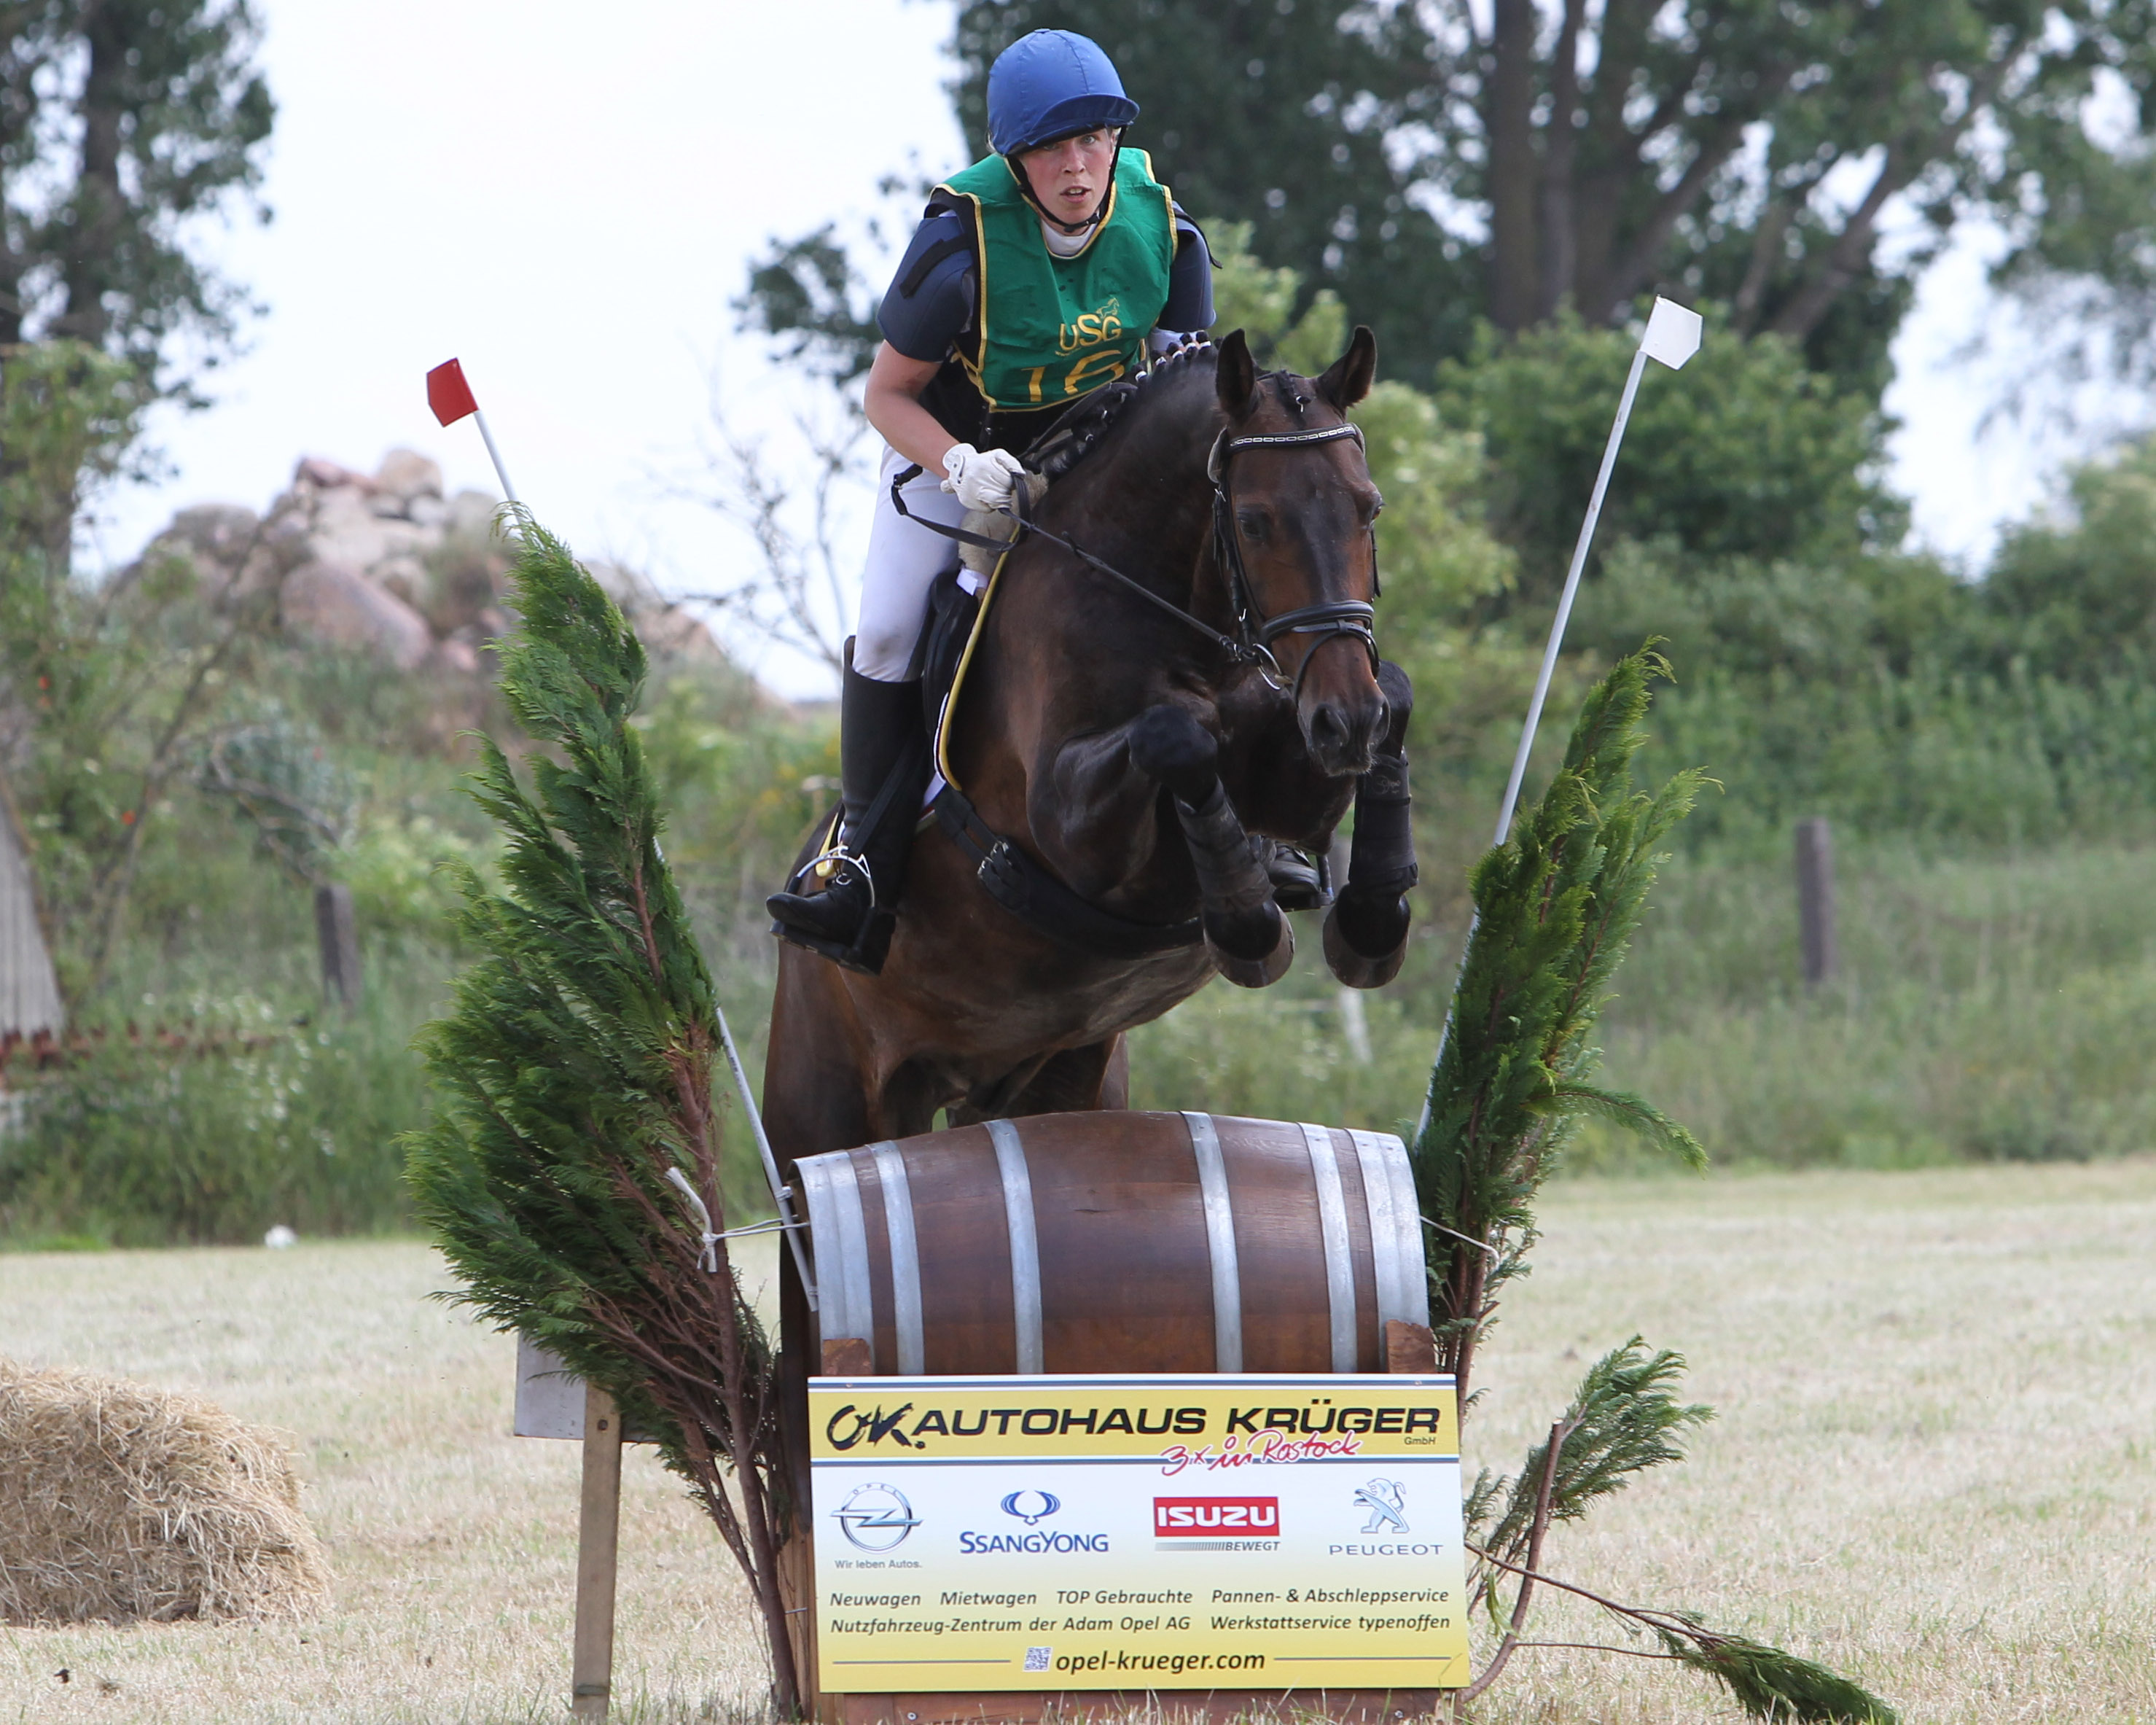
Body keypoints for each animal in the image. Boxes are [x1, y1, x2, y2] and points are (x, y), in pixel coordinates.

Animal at [759, 327, 1414, 1156]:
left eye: (1370, 507)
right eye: (1255, 520)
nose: (1347, 719)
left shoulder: (1301, 776)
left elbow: (1393, 697)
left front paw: (1370, 925)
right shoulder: (1068, 831)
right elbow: (1177, 736)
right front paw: (1249, 925)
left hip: (1063, 1080)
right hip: (829, 1107)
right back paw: (841, 900)